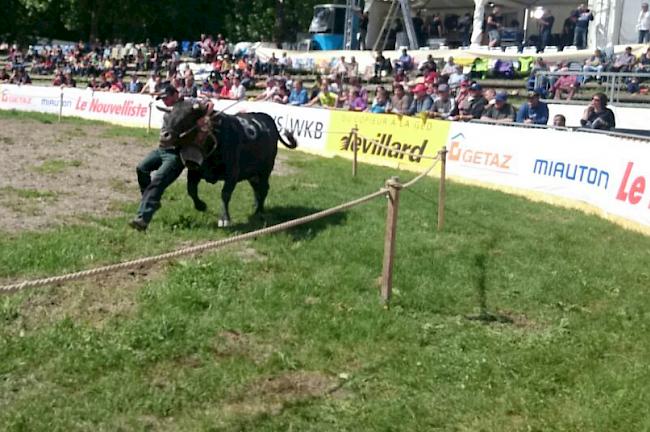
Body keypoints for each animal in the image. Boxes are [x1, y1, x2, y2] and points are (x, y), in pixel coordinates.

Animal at [159, 101, 296, 228]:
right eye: (168, 116)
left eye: (187, 117)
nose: (164, 136)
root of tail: (267, 119)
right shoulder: (194, 170)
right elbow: (191, 190)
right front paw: (201, 206)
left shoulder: (232, 172)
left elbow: (225, 194)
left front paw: (224, 218)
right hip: (252, 174)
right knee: (256, 188)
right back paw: (256, 205)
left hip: (265, 170)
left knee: (263, 188)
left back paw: (259, 211)